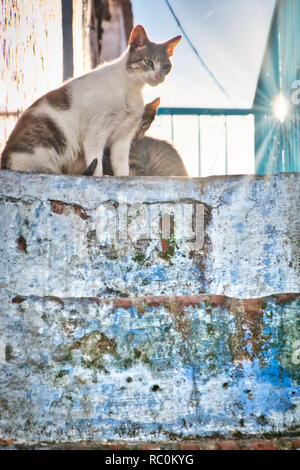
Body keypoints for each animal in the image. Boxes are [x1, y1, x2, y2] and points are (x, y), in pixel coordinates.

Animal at [1, 25, 180, 176]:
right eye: (148, 62)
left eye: (166, 66)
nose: (158, 76)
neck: (131, 88)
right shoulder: (95, 133)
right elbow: (97, 166)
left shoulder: (123, 138)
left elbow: (122, 167)